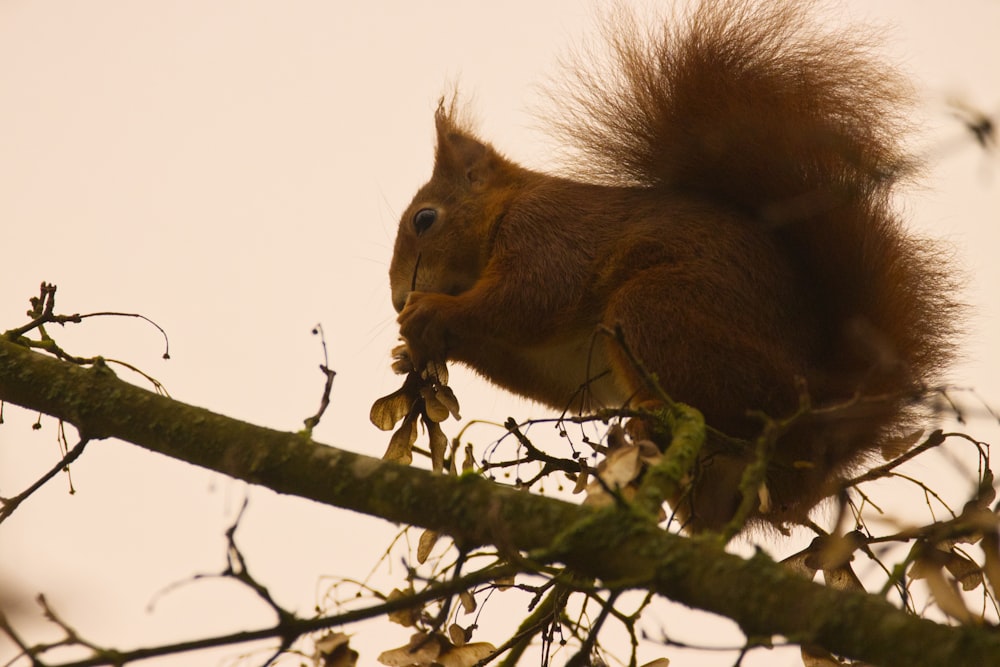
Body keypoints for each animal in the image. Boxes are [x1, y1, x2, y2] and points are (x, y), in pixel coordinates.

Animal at [386, 0, 956, 532]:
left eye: (424, 219)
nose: (396, 298)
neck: (508, 207)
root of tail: (826, 406)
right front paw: (413, 345)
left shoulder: (548, 235)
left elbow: (527, 301)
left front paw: (431, 311)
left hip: (662, 316)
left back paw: (654, 431)